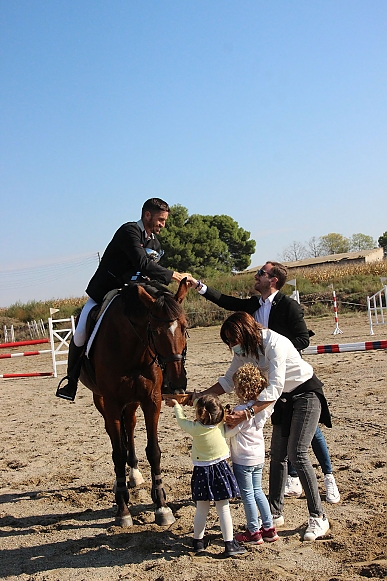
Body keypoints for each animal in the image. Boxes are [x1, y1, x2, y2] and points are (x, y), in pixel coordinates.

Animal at [79, 278, 189, 528]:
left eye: (184, 327)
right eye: (155, 331)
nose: (177, 384)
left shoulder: (151, 400)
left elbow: (154, 450)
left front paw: (161, 506)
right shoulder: (111, 402)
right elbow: (118, 452)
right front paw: (123, 509)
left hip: (131, 403)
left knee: (128, 425)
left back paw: (134, 474)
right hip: (103, 401)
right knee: (115, 435)